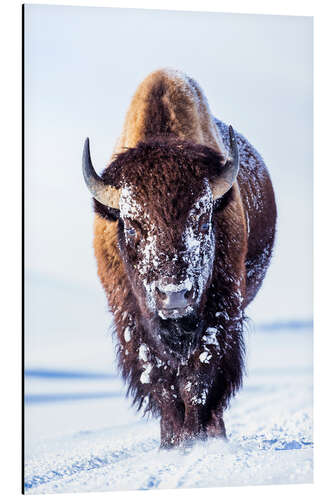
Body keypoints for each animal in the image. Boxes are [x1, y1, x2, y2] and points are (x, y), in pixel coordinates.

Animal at [82, 68, 274, 448]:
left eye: (203, 219)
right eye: (132, 224)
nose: (174, 295)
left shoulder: (220, 313)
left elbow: (198, 379)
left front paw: (196, 439)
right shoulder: (132, 322)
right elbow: (161, 383)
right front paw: (173, 443)